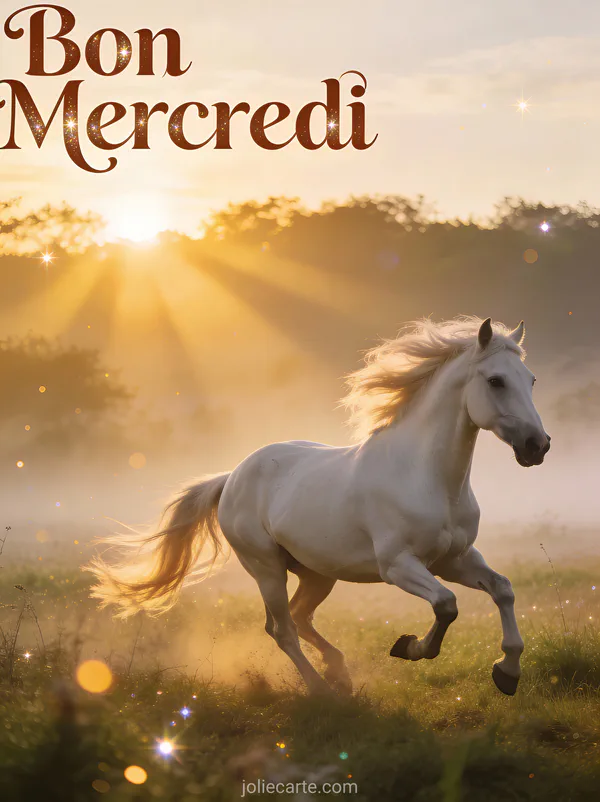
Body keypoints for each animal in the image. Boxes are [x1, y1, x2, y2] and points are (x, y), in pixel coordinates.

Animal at [89, 316, 550, 696]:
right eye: (495, 380)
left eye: (530, 380)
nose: (537, 445)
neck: (428, 479)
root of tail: (233, 476)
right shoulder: (399, 565)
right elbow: (446, 605)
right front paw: (409, 647)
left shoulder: (454, 559)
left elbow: (502, 589)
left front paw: (507, 672)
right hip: (266, 569)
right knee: (282, 629)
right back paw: (321, 689)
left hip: (317, 573)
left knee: (298, 617)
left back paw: (338, 671)